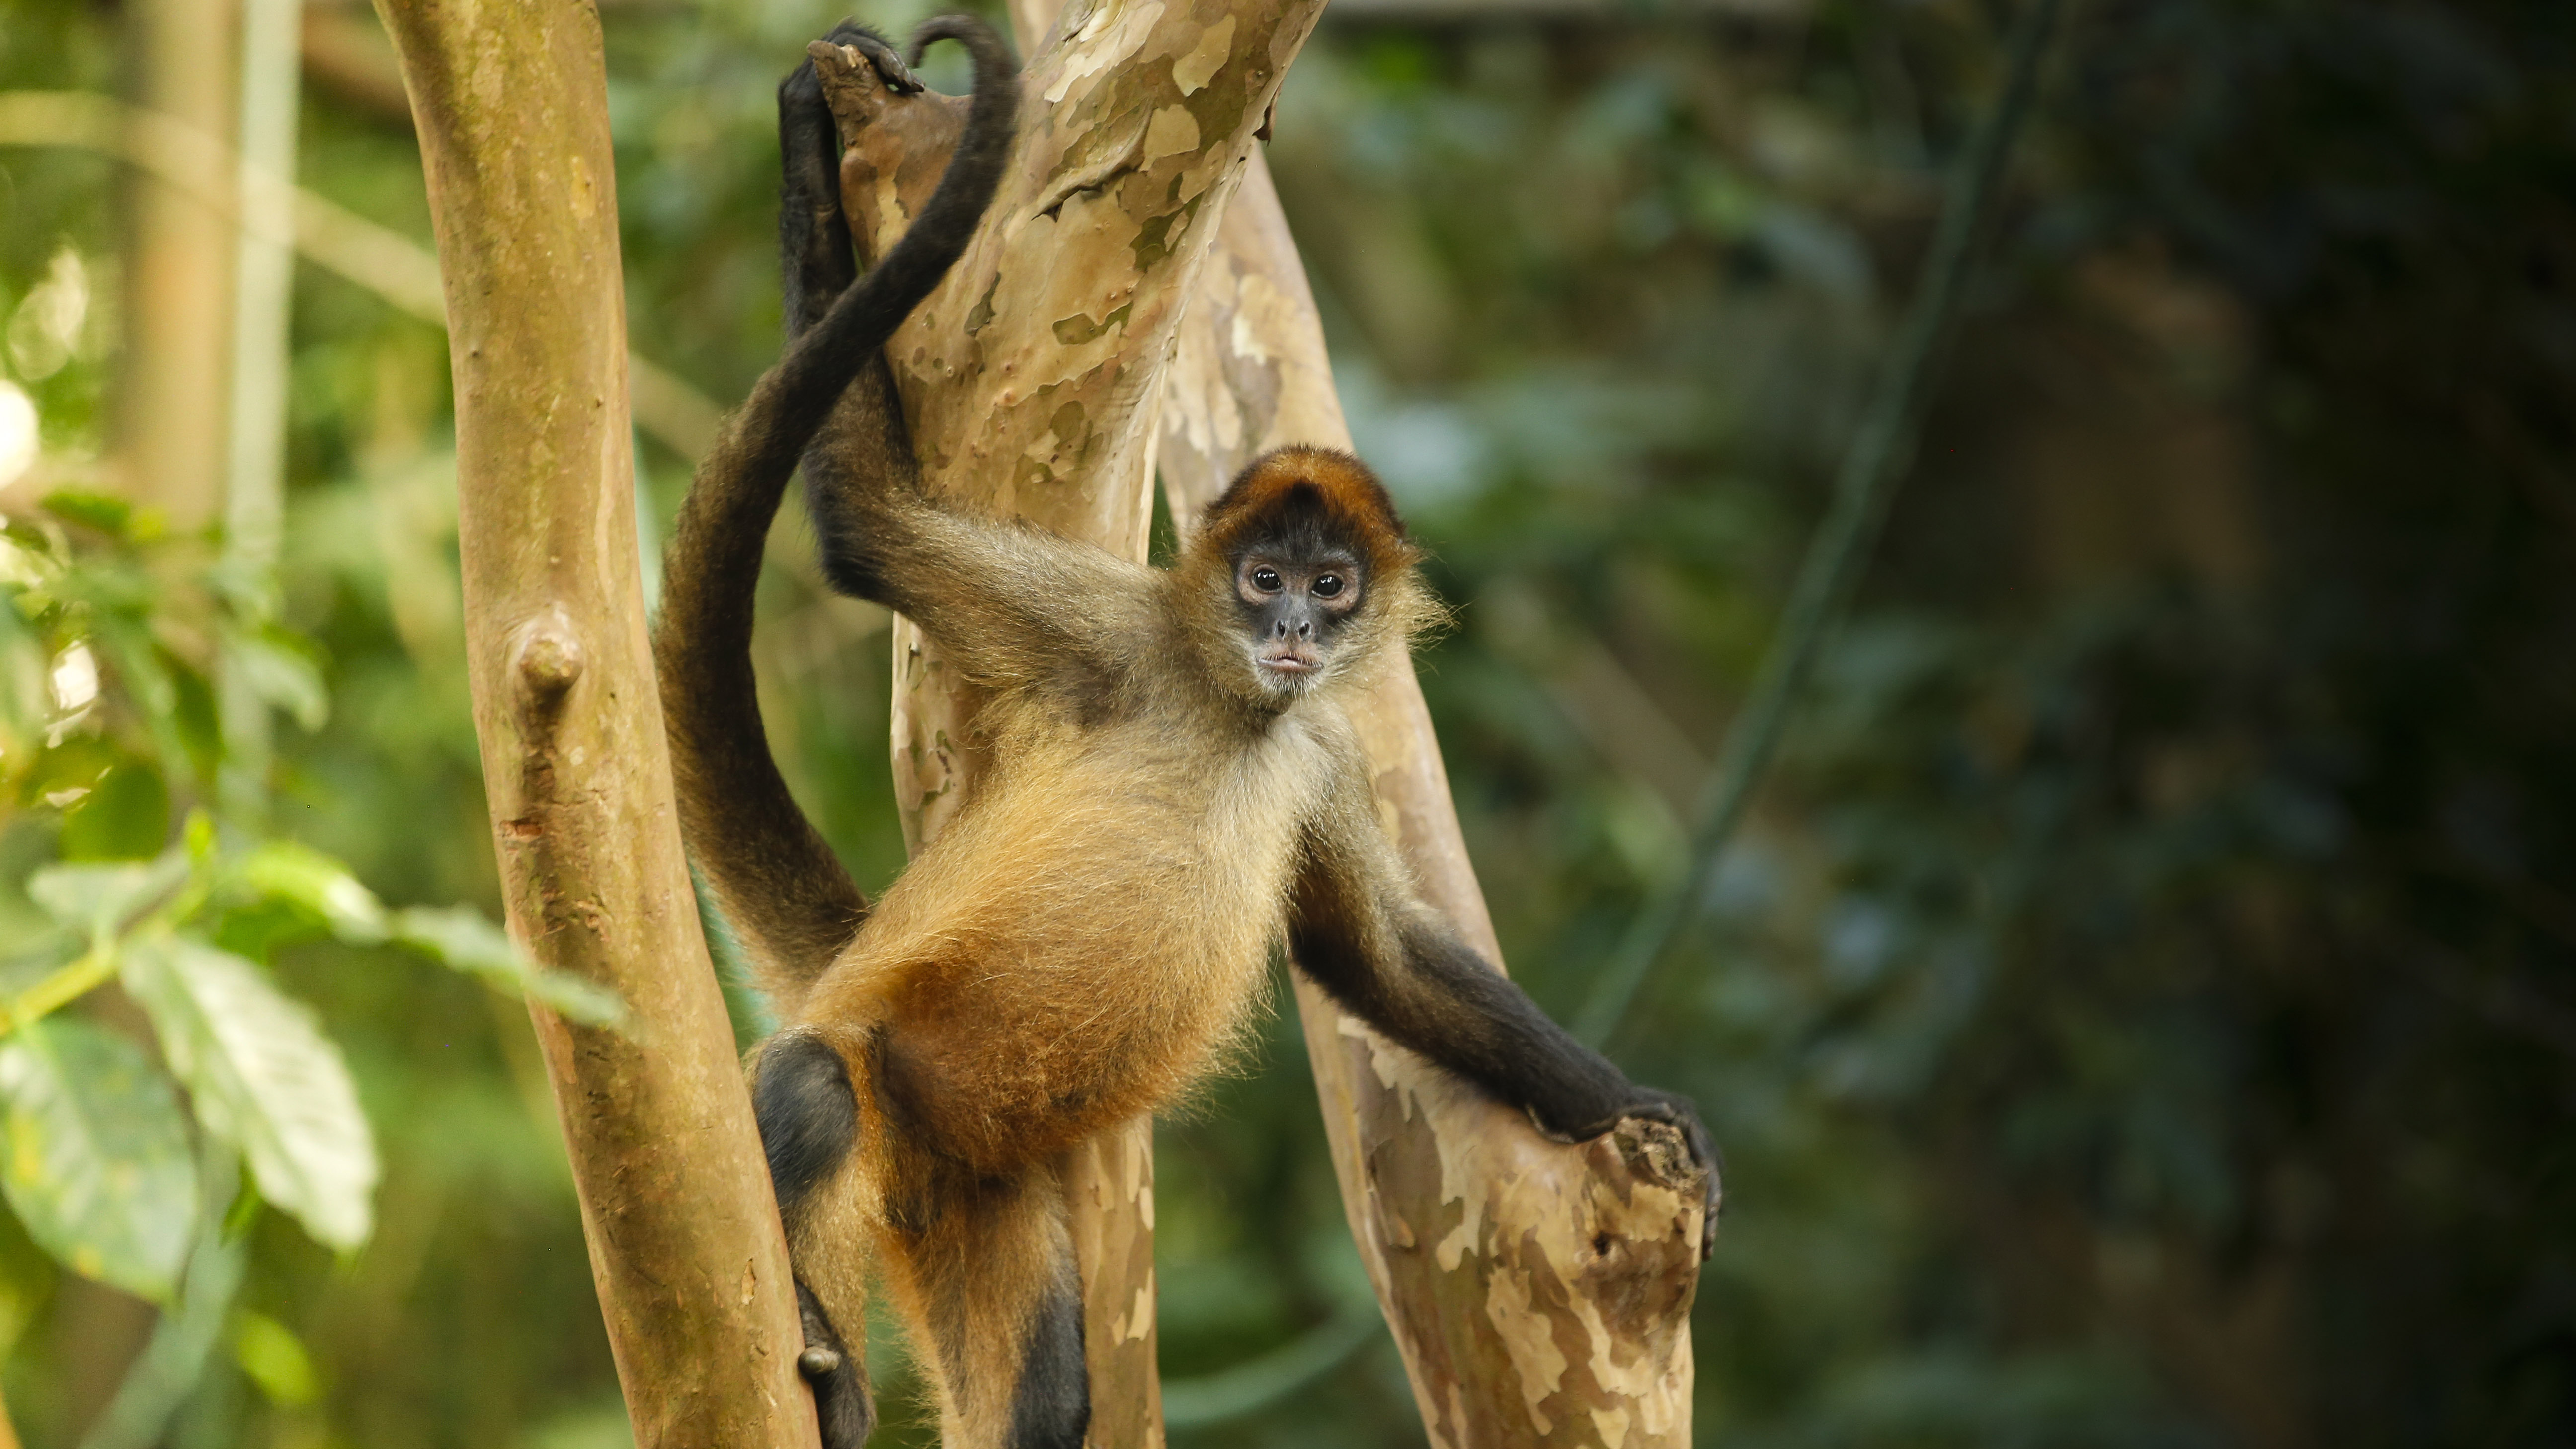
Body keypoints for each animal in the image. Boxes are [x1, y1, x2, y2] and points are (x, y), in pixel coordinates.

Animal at [649, 19, 1719, 1449]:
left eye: (1333, 585)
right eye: (1263, 579)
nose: (1297, 631)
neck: (1233, 708)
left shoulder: (1317, 754)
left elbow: (1381, 961)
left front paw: (1638, 1107)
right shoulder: (1116, 631)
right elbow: (868, 520)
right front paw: (808, 127)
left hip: (969, 1186)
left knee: (1045, 1405)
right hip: (876, 1070)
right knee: (816, 1090)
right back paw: (829, 1368)